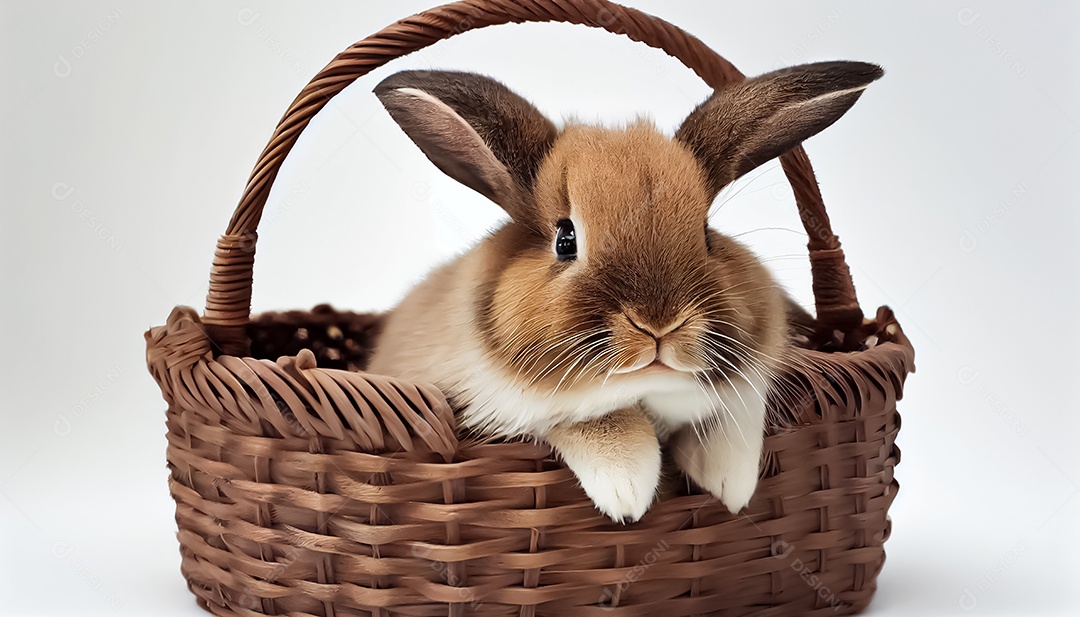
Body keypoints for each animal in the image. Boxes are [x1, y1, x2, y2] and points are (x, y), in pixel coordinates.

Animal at [367, 60, 881, 522]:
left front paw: (730, 482)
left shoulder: (747, 384)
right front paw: (628, 490)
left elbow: (734, 411)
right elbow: (592, 419)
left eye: (706, 235)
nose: (659, 324)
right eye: (565, 239)